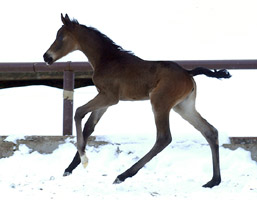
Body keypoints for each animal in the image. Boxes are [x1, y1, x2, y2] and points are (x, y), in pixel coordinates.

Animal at [43, 14, 230, 188]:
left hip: (160, 103)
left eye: (60, 36)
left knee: (164, 138)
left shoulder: (110, 97)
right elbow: (89, 126)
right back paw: (214, 180)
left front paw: (84, 159)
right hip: (183, 106)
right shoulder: (104, 99)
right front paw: (70, 167)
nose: (46, 57)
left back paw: (123, 175)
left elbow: (78, 112)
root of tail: (188, 73)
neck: (107, 59)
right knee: (209, 131)